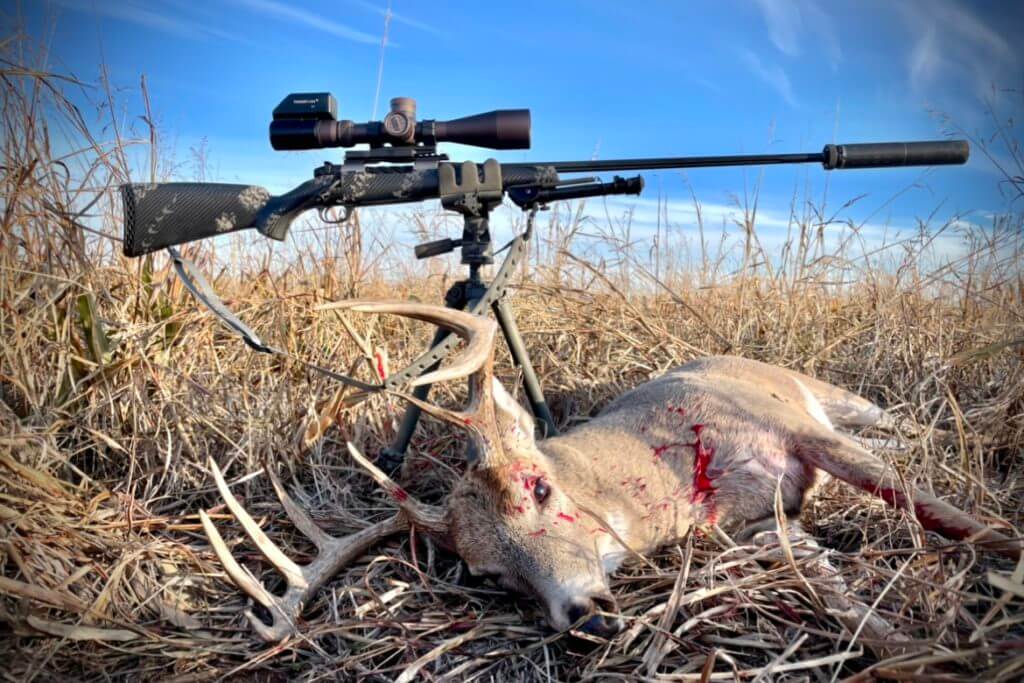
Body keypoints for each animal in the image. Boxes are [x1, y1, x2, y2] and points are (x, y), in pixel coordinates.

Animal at [197, 299, 1015, 643]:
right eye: (487, 574)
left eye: (538, 485)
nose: (584, 612)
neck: (679, 478)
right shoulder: (756, 527)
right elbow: (836, 593)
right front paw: (911, 651)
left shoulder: (795, 431)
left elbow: (952, 516)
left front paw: (1009, 566)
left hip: (834, 399)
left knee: (900, 427)